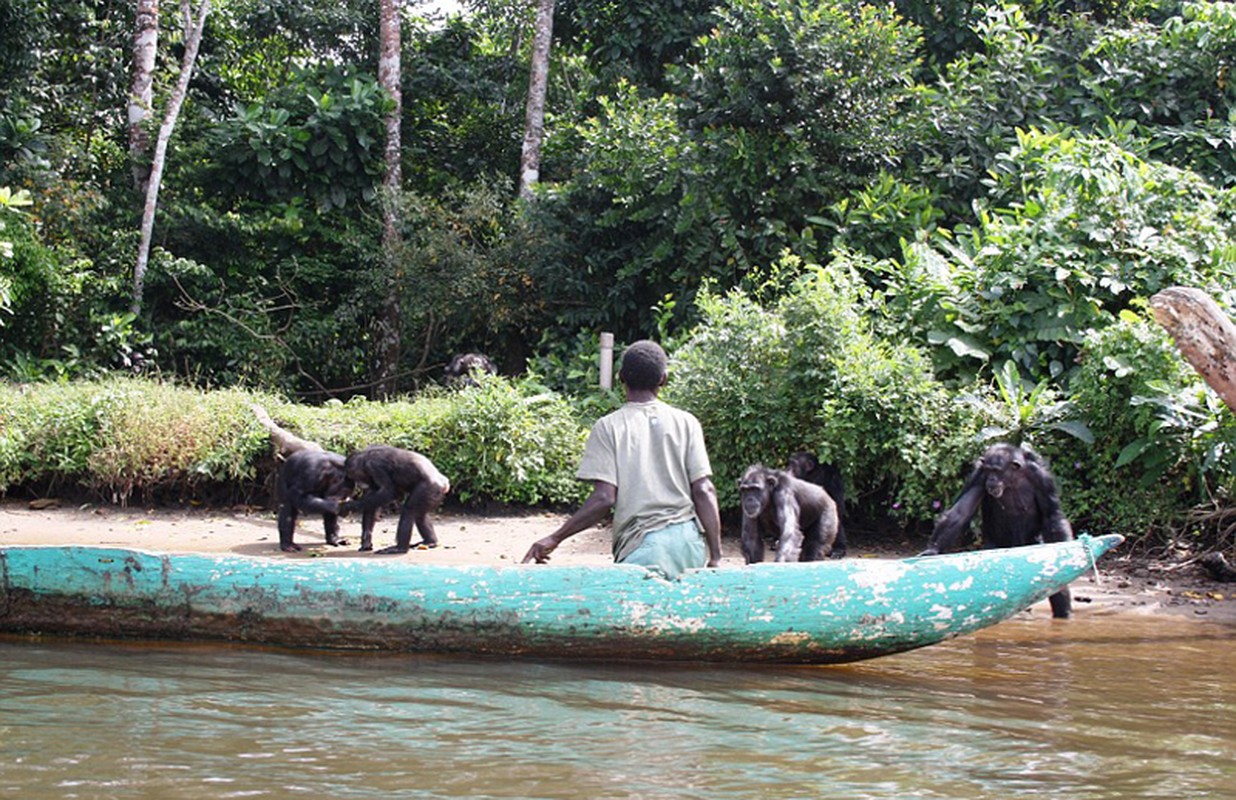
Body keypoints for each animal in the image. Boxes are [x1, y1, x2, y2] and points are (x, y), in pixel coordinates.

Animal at [924, 445, 1077, 620]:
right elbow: (961, 511)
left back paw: (1064, 613)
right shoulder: (978, 476)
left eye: (996, 471)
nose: (991, 479)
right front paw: (932, 550)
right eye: (989, 470)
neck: (1012, 478)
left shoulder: (1043, 479)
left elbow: (1051, 515)